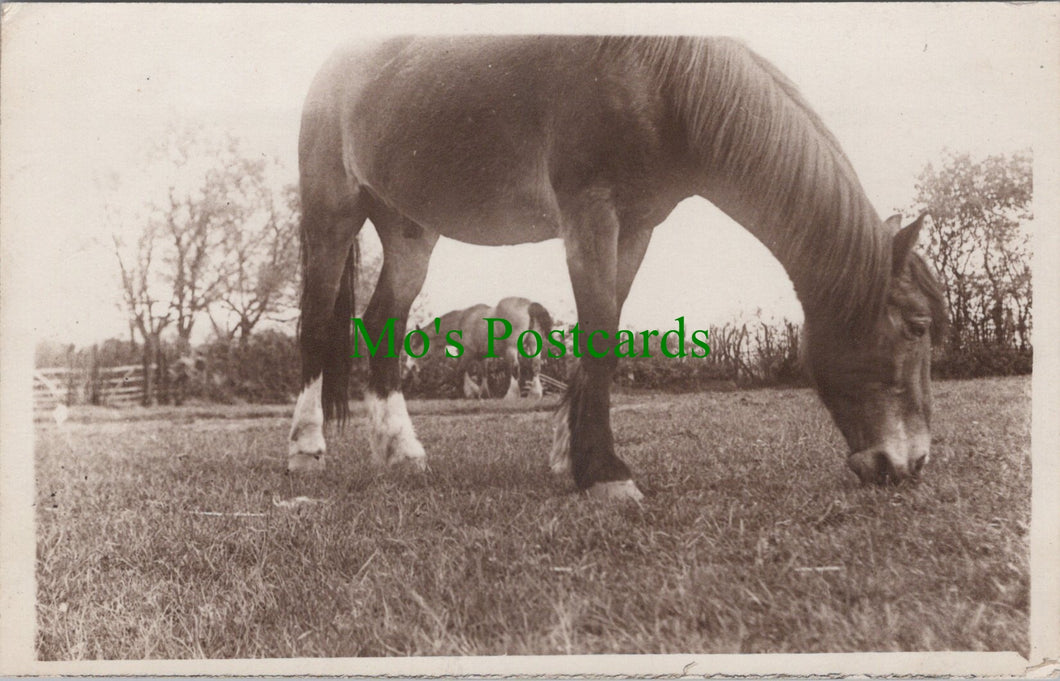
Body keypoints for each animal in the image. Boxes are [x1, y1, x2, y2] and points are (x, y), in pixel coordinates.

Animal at [404, 297, 554, 400]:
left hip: (512, 348)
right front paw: (484, 394)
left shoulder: (467, 353)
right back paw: (535, 394)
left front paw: (467, 392)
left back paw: (511, 395)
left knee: (515, 368)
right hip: (534, 344)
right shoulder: (482, 356)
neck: (462, 321)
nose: (410, 367)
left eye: (415, 344)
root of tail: (529, 305)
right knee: (535, 366)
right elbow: (484, 373)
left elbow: (460, 370)